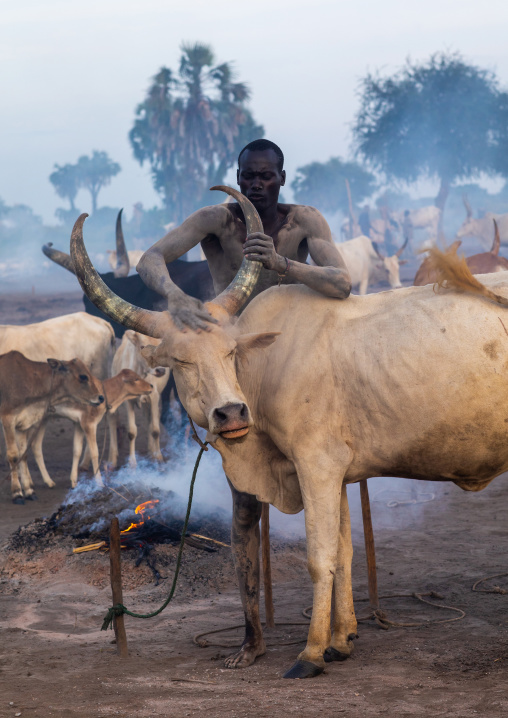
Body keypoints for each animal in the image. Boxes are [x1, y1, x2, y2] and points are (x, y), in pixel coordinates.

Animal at [0, 351, 104, 503]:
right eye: (83, 376)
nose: (101, 397)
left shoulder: (22, 425)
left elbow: (23, 455)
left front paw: (29, 491)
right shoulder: (8, 419)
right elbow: (13, 456)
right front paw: (17, 493)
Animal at [109, 331, 169, 468]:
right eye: (142, 347)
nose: (161, 370)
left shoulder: (154, 397)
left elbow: (155, 429)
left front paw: (158, 457)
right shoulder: (128, 401)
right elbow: (132, 432)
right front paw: (132, 462)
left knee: (150, 421)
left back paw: (151, 451)